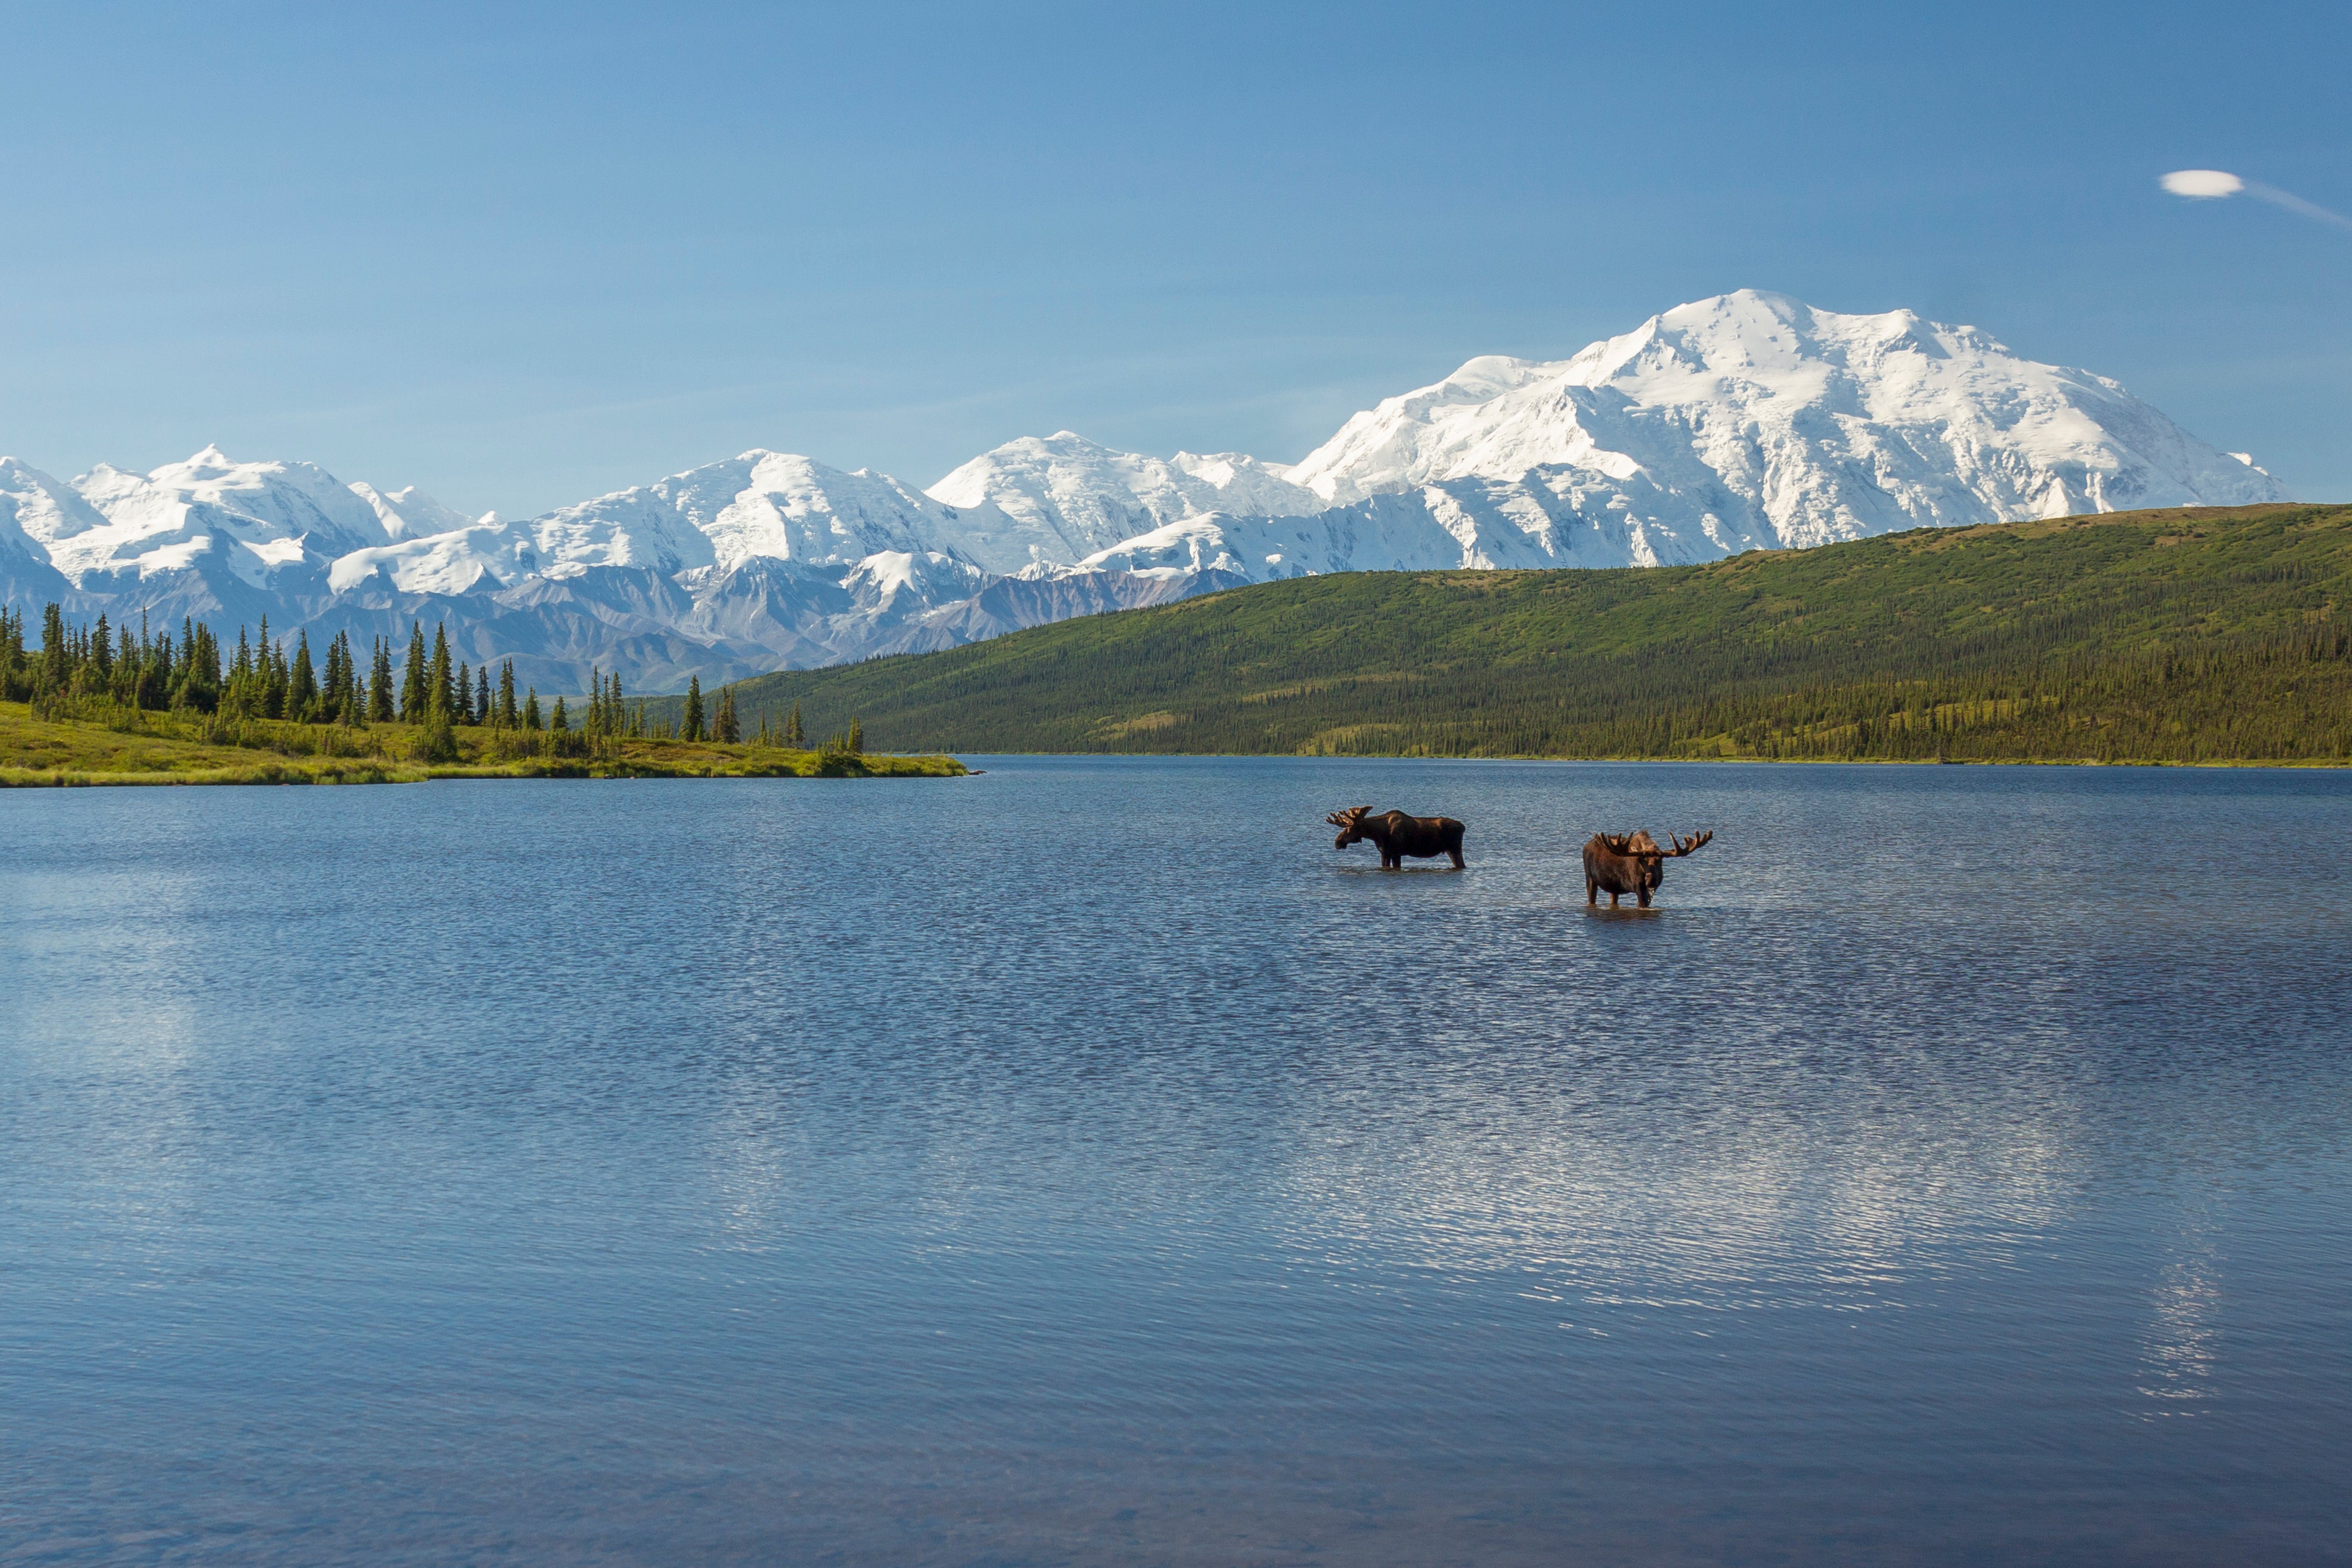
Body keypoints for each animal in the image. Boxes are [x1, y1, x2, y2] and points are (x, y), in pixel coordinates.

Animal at [1326, 808, 1467, 870]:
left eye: (1351, 828)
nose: (1338, 842)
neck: (1377, 833)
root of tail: (1463, 827)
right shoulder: (1385, 853)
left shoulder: (1396, 853)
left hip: (1454, 850)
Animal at [1581, 827, 1712, 912]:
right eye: (1643, 860)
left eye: (1660, 860)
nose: (1652, 880)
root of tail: (1586, 846)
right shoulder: (1638, 885)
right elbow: (1642, 904)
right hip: (1590, 878)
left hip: (1614, 887)